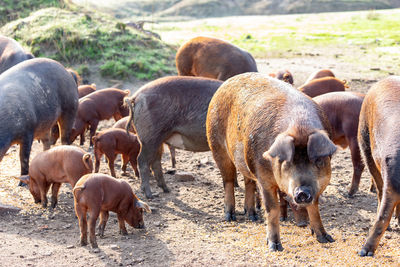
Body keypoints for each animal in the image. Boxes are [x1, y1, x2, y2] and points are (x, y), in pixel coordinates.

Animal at [206, 72, 338, 252]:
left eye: (317, 160)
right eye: (287, 162)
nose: (302, 192)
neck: (300, 127)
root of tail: (225, 83)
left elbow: (314, 208)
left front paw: (326, 239)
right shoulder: (264, 178)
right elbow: (272, 209)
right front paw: (275, 247)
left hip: (245, 161)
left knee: (248, 182)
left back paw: (252, 216)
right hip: (217, 146)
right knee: (228, 181)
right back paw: (230, 217)